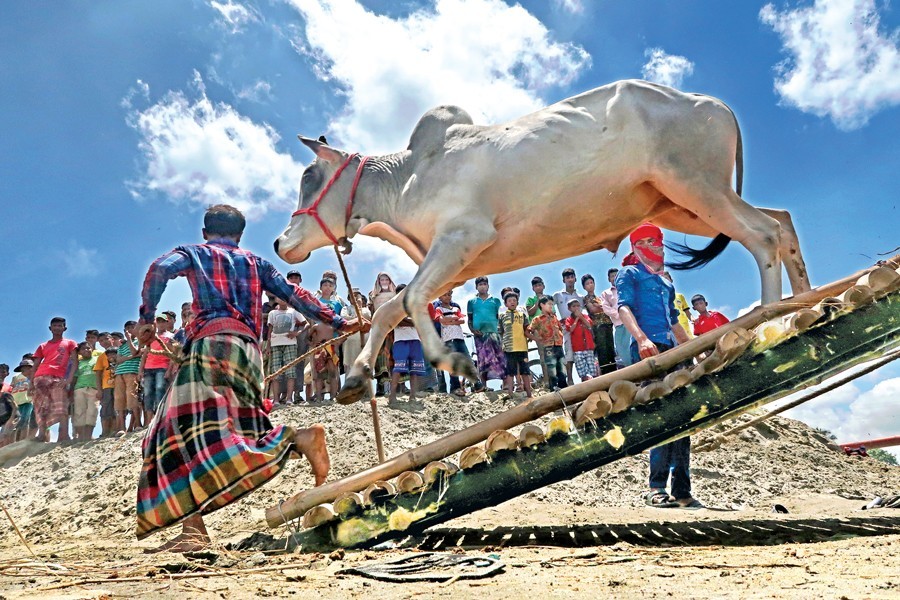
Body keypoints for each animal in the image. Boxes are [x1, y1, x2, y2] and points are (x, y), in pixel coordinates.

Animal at [274, 77, 808, 400]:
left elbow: (410, 300)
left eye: (308, 176)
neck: (407, 178)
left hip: (696, 187)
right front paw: (358, 374)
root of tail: (717, 104)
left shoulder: (464, 237)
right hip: (682, 203)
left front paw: (455, 361)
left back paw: (767, 322)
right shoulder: (459, 261)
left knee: (763, 233)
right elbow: (392, 307)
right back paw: (802, 305)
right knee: (781, 221)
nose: (280, 244)